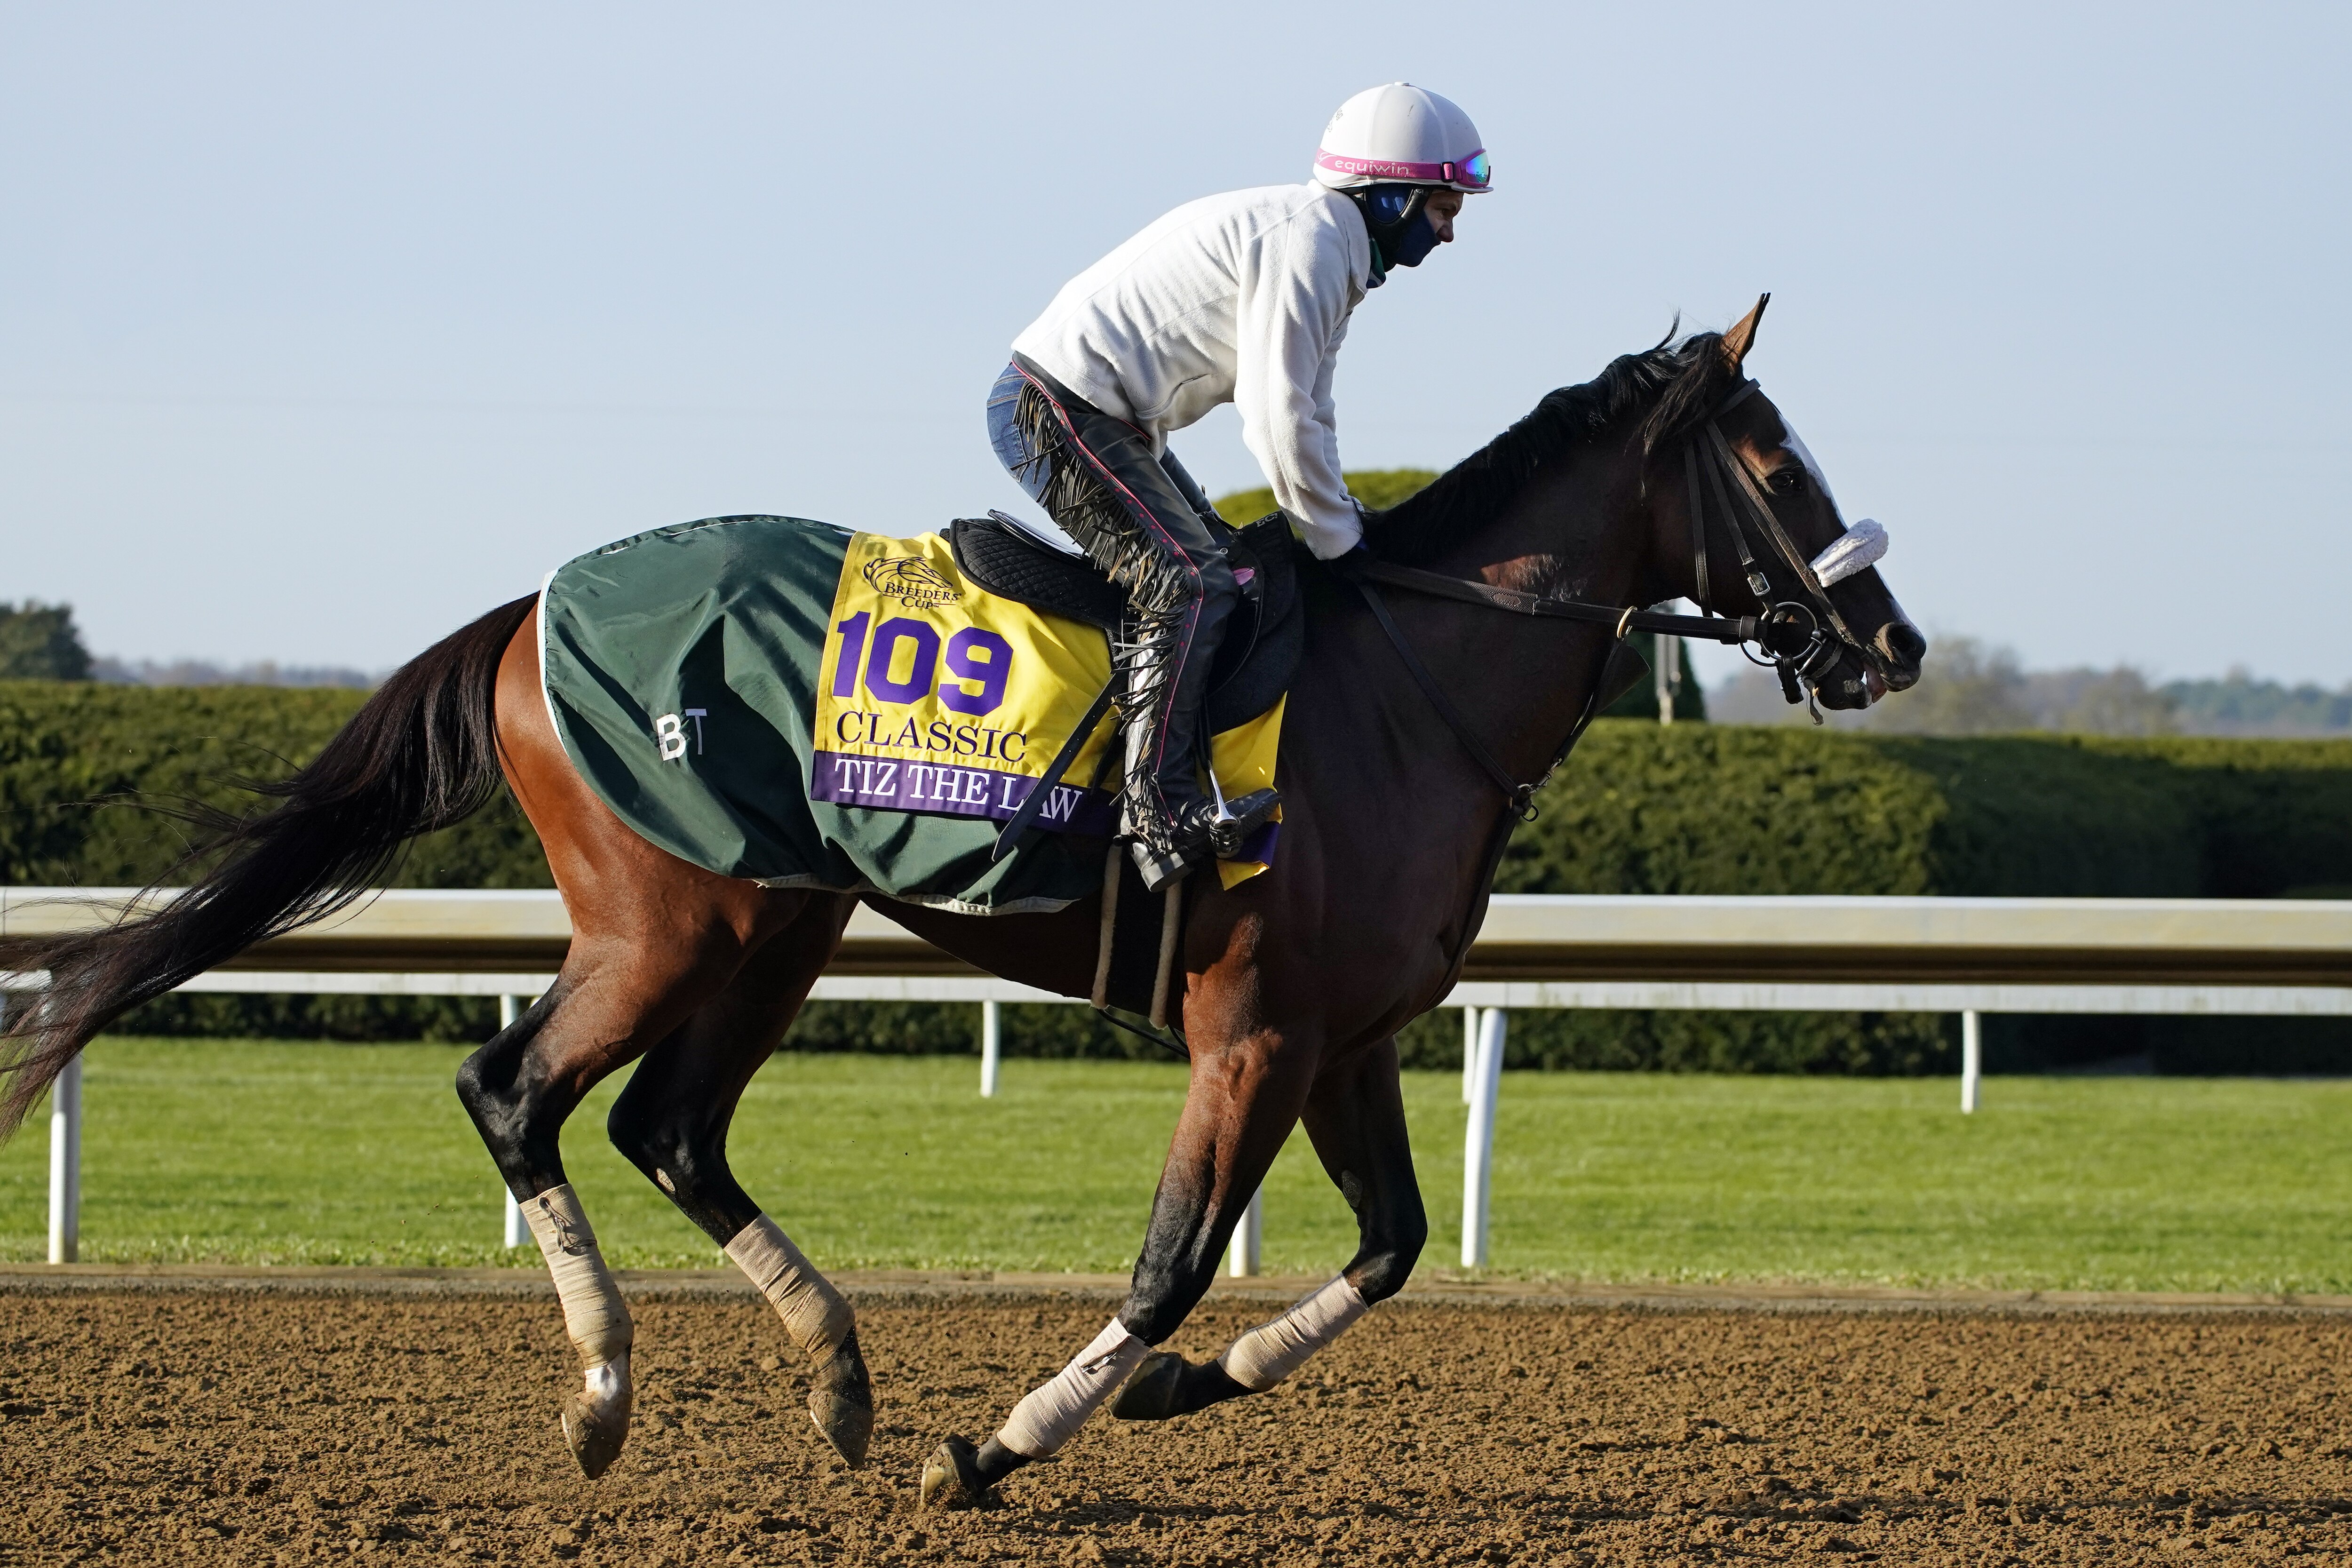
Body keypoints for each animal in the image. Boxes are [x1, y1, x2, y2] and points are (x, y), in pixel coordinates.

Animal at [0, 299, 1924, 1506]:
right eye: (1775, 464)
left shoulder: (1350, 1036)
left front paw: (1179, 1389)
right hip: (666, 917)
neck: (1404, 688)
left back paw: (836, 1375)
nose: (1889, 640)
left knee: (667, 1128)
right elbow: (1167, 1259)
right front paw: (1002, 1444)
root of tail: (524, 612)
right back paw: (609, 1392)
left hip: (780, 921)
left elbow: (1387, 1247)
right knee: (516, 1091)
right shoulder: (1253, 1031)